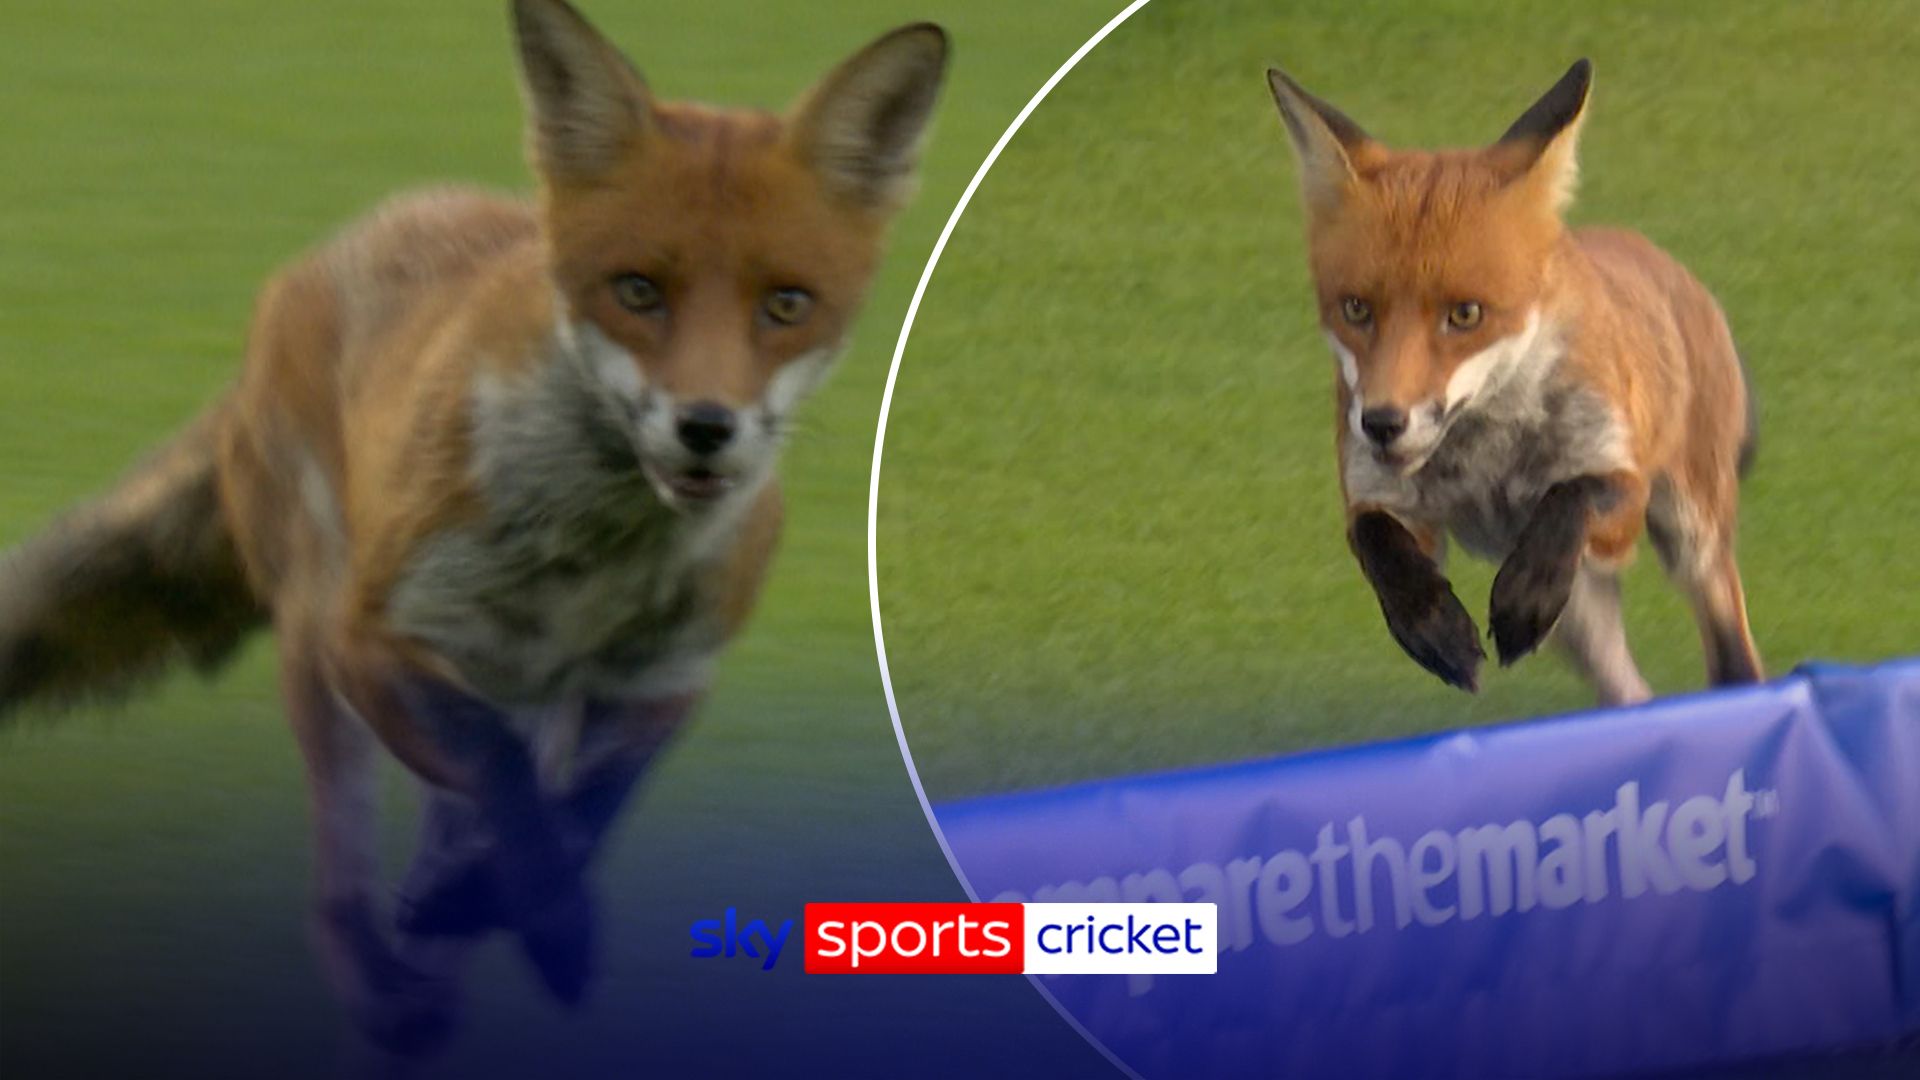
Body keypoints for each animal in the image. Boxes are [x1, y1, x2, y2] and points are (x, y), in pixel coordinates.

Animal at [0, 0, 946, 1054]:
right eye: (636, 290)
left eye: (786, 304)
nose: (707, 428)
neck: (594, 559)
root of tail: (333, 249)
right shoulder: (374, 641)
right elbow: (500, 773)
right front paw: (537, 920)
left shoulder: (665, 680)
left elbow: (583, 811)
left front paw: (505, 904)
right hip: (321, 644)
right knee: (345, 878)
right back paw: (390, 986)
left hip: (515, 689)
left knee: (478, 814)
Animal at [1265, 59, 1761, 707]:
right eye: (1355, 309)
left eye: (1466, 314)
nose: (1381, 423)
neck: (1486, 460)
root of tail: (1654, 255)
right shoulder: (1385, 501)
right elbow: (1378, 542)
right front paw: (1433, 628)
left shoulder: (1620, 492)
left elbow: (1569, 496)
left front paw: (1522, 595)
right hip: (1580, 624)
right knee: (1629, 693)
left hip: (1688, 536)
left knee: (1731, 652)